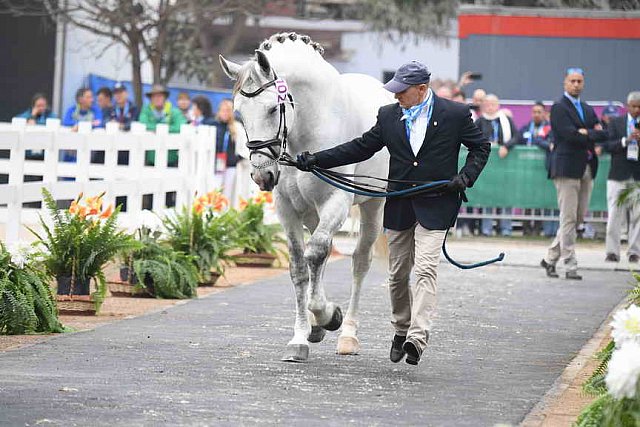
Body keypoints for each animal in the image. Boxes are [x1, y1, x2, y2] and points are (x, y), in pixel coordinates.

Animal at [219, 31, 390, 362]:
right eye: (239, 114)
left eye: (273, 109)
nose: (262, 175)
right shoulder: (287, 209)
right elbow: (300, 266)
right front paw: (301, 336)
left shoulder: (337, 201)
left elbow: (316, 253)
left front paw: (328, 315)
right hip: (312, 213)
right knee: (319, 258)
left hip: (373, 205)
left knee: (359, 261)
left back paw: (347, 334)